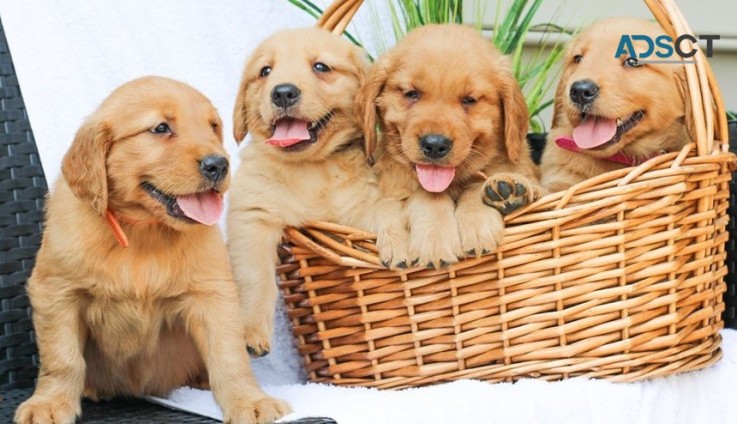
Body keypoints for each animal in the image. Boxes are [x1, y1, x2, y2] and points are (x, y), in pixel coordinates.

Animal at [14, 76, 288, 424]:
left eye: (213, 127)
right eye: (160, 128)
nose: (220, 165)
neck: (143, 230)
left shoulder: (212, 293)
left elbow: (229, 355)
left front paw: (249, 400)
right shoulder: (56, 291)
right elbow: (62, 358)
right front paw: (49, 404)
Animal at [227, 28, 406, 356]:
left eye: (321, 67)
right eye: (265, 71)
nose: (282, 92)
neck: (310, 169)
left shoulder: (360, 210)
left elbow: (387, 207)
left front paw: (398, 244)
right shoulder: (252, 216)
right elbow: (255, 276)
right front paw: (252, 331)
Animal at [356, 23, 540, 266]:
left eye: (470, 100)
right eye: (411, 93)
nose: (434, 145)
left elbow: (475, 187)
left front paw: (482, 218)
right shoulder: (391, 191)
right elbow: (419, 197)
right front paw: (434, 241)